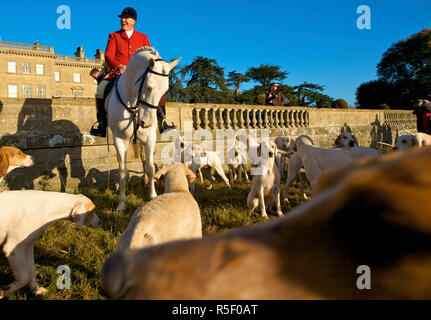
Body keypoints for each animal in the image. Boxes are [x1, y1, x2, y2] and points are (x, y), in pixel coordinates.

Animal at [106, 47, 181, 210]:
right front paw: (121, 203)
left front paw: (153, 195)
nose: (146, 123)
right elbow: (123, 172)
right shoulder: (120, 139)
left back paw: (146, 182)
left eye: (165, 90)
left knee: (144, 158)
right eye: (149, 86)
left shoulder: (149, 137)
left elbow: (150, 167)